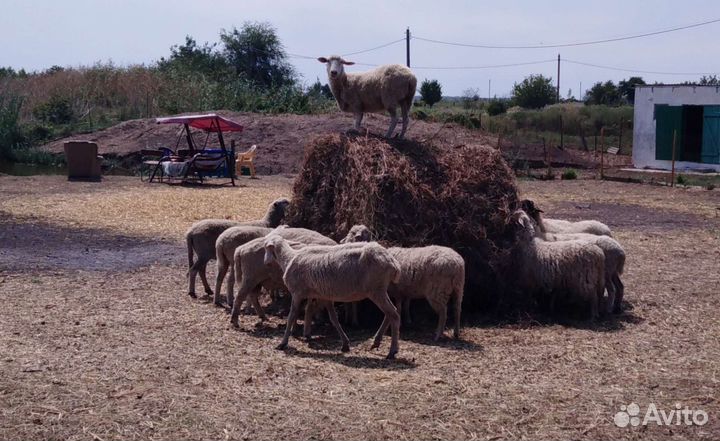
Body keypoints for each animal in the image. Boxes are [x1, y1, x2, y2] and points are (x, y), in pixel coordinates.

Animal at [263, 234, 403, 359]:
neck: (288, 258)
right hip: (381, 289)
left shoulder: (297, 293)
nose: (265, 262)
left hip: (376, 290)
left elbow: (291, 316)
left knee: (394, 314)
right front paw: (345, 344)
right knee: (390, 313)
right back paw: (376, 342)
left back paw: (392, 351)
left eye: (265, 247)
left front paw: (283, 343)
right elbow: (334, 318)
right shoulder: (325, 296)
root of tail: (392, 262)